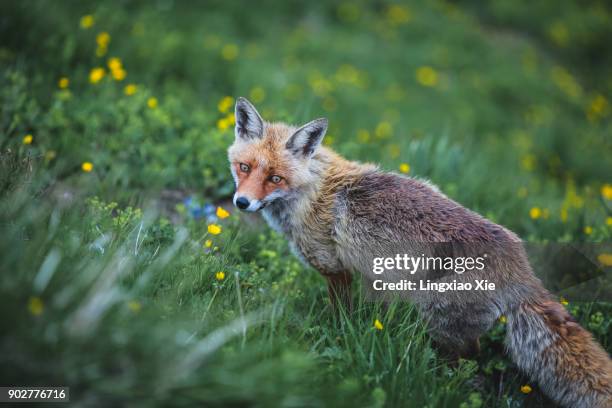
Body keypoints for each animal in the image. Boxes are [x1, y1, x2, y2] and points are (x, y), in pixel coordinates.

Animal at [227, 97, 612, 406]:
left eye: (275, 178)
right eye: (244, 168)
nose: (242, 203)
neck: (313, 192)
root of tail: (520, 264)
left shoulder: (336, 271)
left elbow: (338, 317)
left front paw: (331, 334)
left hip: (437, 313)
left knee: (469, 356)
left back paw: (447, 384)